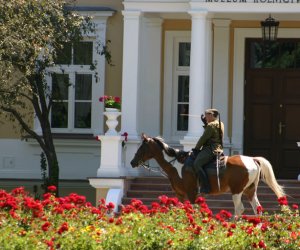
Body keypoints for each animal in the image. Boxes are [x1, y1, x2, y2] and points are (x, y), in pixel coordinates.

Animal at [131, 134, 286, 216]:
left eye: (142, 147)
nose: (132, 162)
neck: (177, 166)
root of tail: (252, 159)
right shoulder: (180, 195)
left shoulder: (191, 194)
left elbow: (191, 211)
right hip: (250, 190)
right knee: (257, 209)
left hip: (237, 191)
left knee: (239, 209)